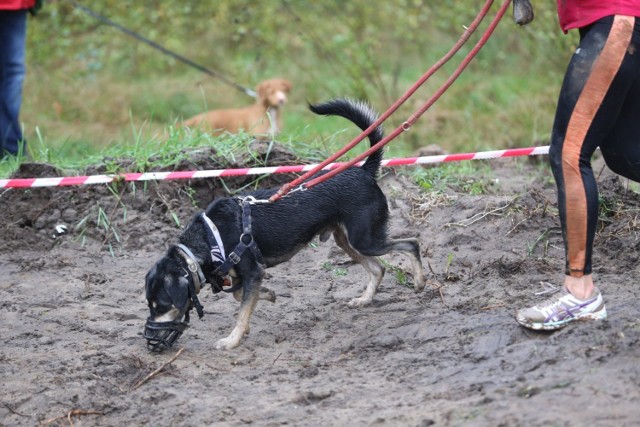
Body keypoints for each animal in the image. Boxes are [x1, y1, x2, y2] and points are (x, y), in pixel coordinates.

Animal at [144, 98, 424, 352]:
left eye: (162, 305)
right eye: (149, 305)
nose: (148, 335)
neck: (210, 238)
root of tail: (364, 170)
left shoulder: (253, 272)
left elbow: (242, 310)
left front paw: (232, 340)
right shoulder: (245, 276)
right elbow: (240, 296)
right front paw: (267, 296)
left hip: (364, 239)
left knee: (411, 243)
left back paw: (420, 281)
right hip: (346, 240)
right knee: (378, 268)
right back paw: (365, 299)